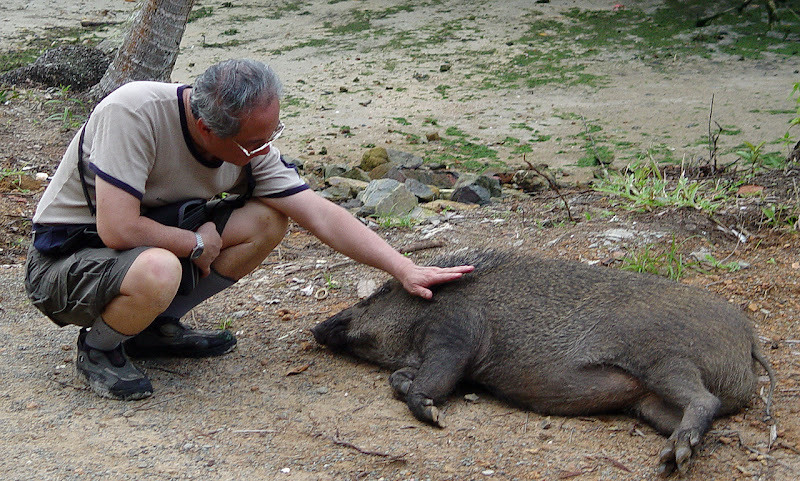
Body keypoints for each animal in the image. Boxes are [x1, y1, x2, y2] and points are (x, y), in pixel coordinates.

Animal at [311, 249, 776, 475]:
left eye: (375, 296)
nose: (316, 327)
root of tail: (749, 338)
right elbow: (400, 379)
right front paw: (409, 386)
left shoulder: (456, 334)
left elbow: (430, 380)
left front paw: (433, 415)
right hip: (646, 399)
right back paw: (675, 453)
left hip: (664, 360)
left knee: (705, 401)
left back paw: (670, 460)